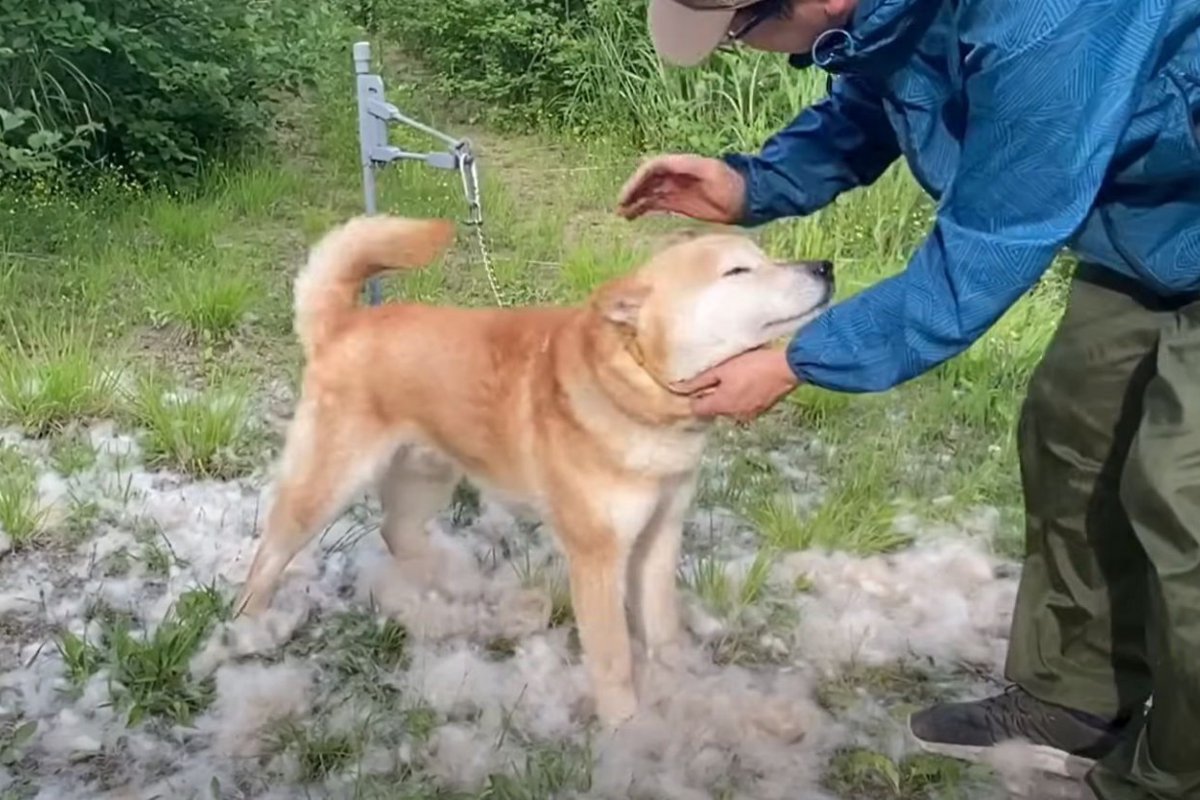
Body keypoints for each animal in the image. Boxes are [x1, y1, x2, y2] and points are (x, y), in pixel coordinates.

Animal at [234, 215, 835, 729]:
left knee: (396, 532)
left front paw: (679, 693)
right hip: (325, 487)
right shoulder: (597, 556)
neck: (640, 393)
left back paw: (452, 594)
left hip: (426, 476)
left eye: (765, 257)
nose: (824, 267)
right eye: (738, 271)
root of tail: (344, 324)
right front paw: (625, 733)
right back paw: (250, 631)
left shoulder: (660, 535)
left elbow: (662, 629)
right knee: (269, 556)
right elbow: (613, 658)